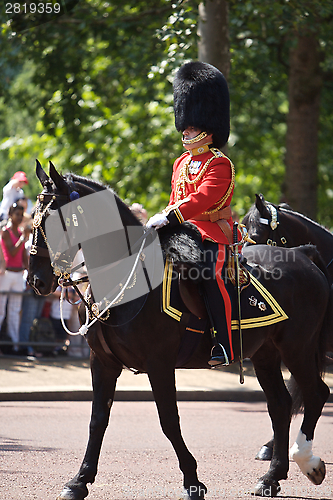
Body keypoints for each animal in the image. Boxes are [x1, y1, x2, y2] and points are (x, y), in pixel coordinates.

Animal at [28, 162, 330, 498]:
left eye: (53, 219)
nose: (36, 279)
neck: (125, 276)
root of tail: (303, 254)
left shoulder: (159, 362)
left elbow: (169, 420)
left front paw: (193, 480)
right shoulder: (103, 362)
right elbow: (98, 420)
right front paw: (79, 480)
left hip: (297, 347)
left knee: (316, 393)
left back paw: (307, 462)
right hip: (266, 353)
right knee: (280, 405)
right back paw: (271, 476)